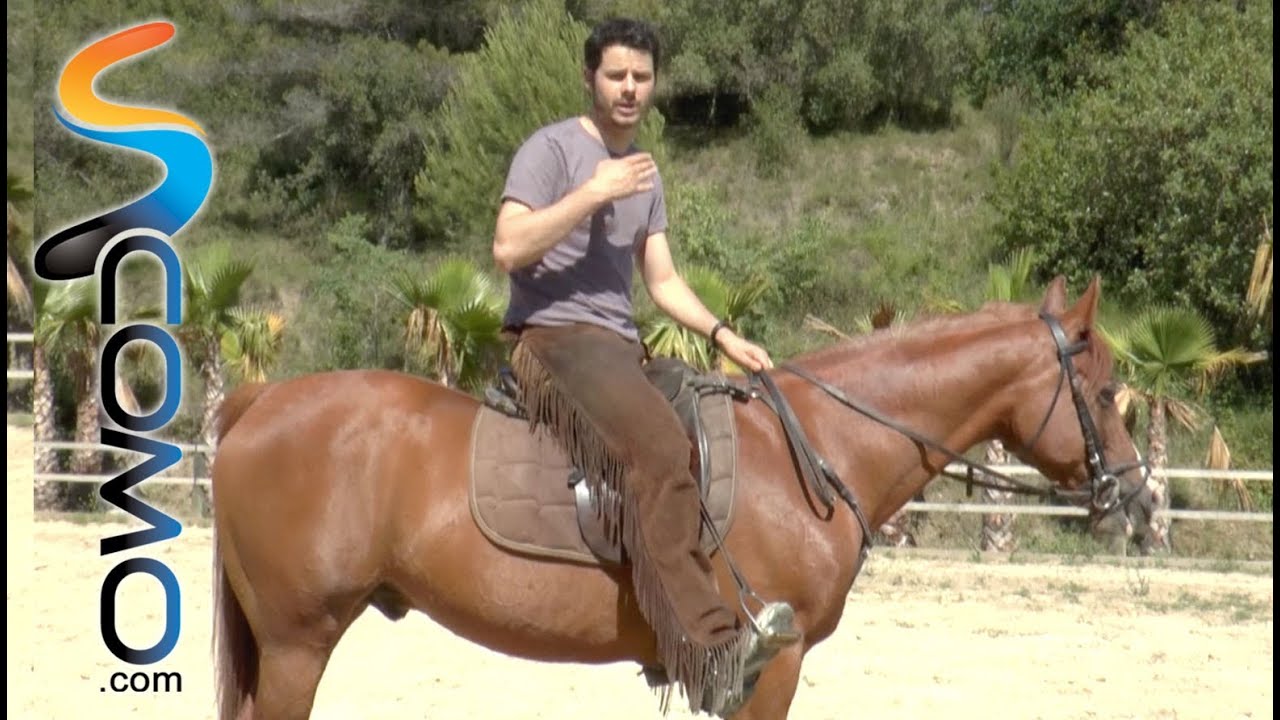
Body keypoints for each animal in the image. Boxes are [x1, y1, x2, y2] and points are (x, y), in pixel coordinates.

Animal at [210, 275, 1155, 719]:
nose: (1139, 499)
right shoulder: (771, 666)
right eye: (1107, 391)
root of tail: (262, 401)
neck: (813, 449)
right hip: (298, 639)